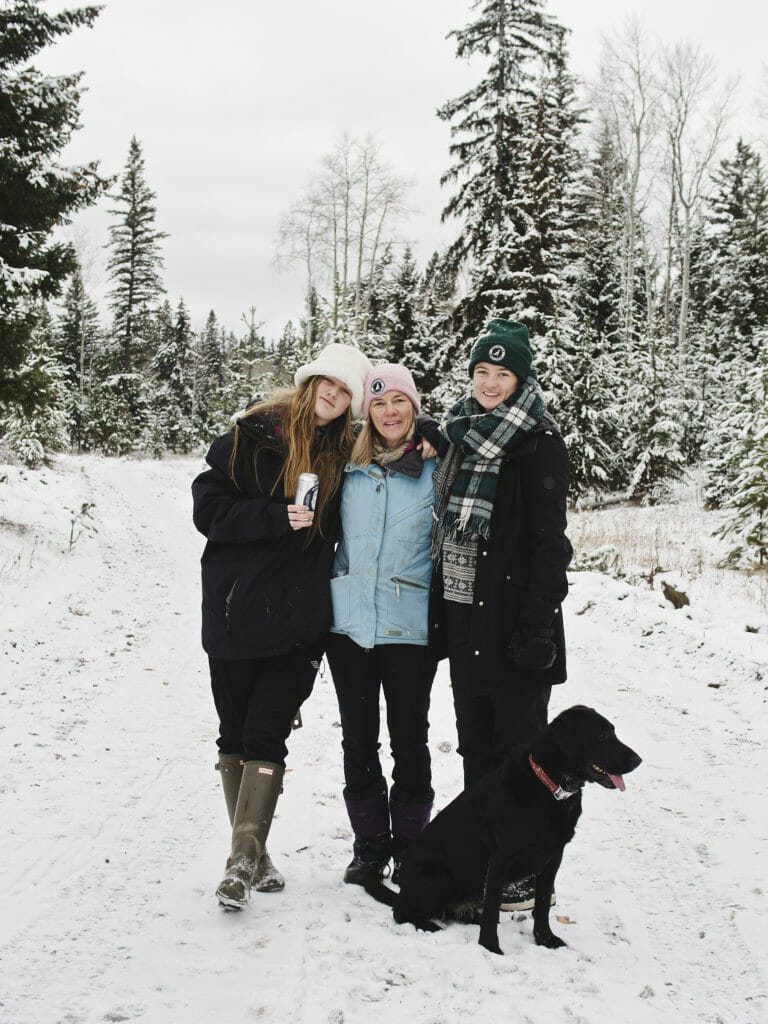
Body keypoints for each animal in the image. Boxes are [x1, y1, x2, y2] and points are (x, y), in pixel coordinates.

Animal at [364, 704, 638, 950]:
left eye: (613, 731)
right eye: (602, 736)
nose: (638, 760)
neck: (551, 788)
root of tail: (405, 888)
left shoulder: (553, 857)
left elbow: (541, 905)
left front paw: (545, 939)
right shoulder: (500, 857)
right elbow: (493, 907)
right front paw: (490, 946)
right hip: (436, 877)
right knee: (401, 913)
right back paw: (430, 925)